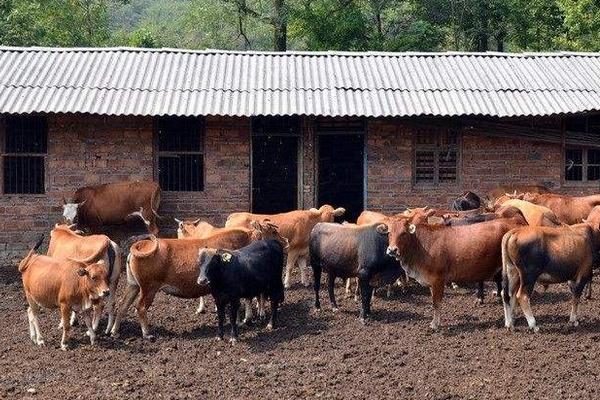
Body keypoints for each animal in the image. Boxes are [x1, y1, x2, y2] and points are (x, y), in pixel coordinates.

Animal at [113, 222, 290, 338]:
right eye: (273, 231)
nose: (286, 241)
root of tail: (140, 245)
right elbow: (246, 300)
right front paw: (245, 320)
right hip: (149, 288)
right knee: (140, 307)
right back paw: (147, 334)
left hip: (133, 285)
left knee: (123, 305)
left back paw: (115, 331)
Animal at [384, 212, 524, 328]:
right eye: (389, 232)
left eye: (404, 233)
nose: (392, 250)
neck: (421, 246)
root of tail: (515, 221)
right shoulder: (431, 281)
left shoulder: (438, 279)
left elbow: (436, 302)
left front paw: (435, 324)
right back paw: (513, 318)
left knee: (508, 294)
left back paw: (509, 321)